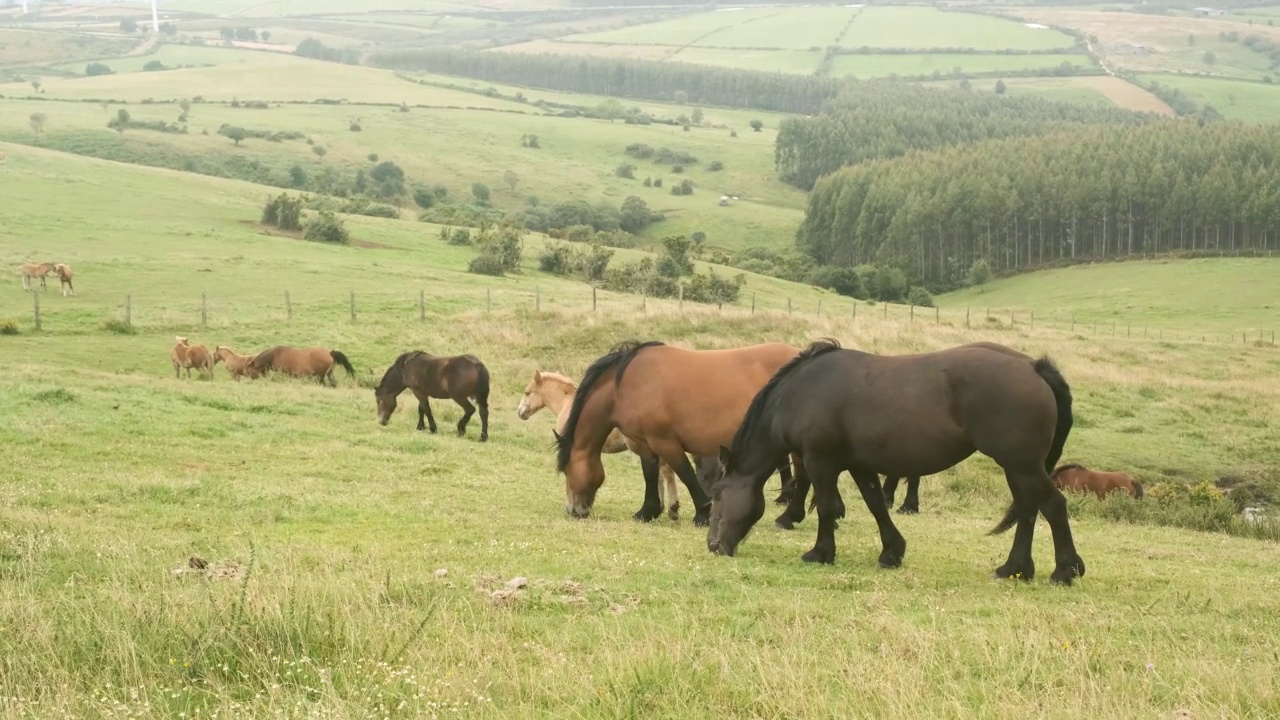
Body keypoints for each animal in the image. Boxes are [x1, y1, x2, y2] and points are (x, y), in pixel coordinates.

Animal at [552, 335, 808, 527]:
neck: (624, 386)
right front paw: (647, 511)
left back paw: (788, 517)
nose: (573, 510)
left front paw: (702, 513)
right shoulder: (645, 443)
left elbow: (685, 474)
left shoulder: (665, 441)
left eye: (566, 470)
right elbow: (650, 474)